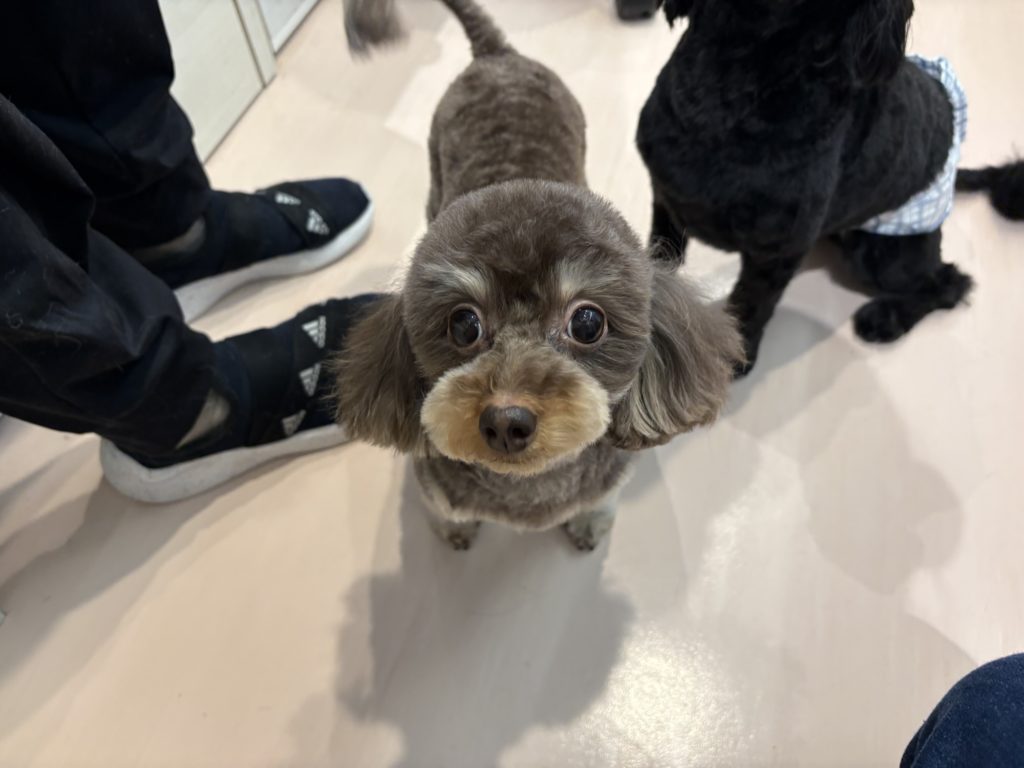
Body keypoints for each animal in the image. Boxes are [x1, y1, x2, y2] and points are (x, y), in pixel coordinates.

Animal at [334, 0, 743, 551]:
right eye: (463, 325)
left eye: (587, 323)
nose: (506, 422)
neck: (530, 488)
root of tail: (496, 54)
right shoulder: (435, 485)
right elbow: (445, 510)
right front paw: (456, 531)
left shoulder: (609, 479)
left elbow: (600, 502)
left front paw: (589, 526)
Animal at [637, 0, 1024, 374]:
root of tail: (952, 171)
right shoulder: (665, 198)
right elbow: (662, 253)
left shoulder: (777, 253)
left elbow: (751, 305)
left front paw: (736, 359)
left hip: (880, 254)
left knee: (950, 283)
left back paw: (885, 319)